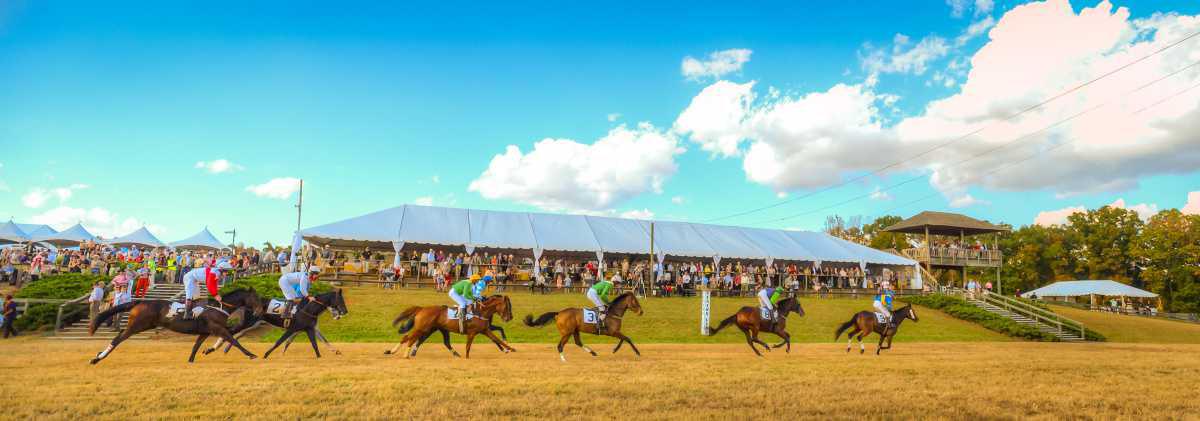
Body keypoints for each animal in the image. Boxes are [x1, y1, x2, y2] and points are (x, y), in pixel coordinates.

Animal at [88, 289, 265, 364]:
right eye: (256, 298)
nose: (260, 311)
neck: (220, 307)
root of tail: (140, 302)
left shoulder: (205, 332)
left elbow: (196, 346)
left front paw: (193, 358)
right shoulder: (217, 328)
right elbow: (234, 340)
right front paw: (251, 355)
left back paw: (98, 355)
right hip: (136, 325)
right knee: (117, 339)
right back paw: (97, 358)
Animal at [202, 290, 348, 359]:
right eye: (340, 300)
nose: (344, 312)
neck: (308, 308)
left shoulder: (308, 328)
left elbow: (317, 343)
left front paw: (325, 355)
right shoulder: (293, 328)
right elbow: (280, 342)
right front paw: (267, 354)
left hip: (256, 325)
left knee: (236, 334)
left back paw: (224, 349)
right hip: (247, 323)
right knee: (230, 332)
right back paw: (211, 349)